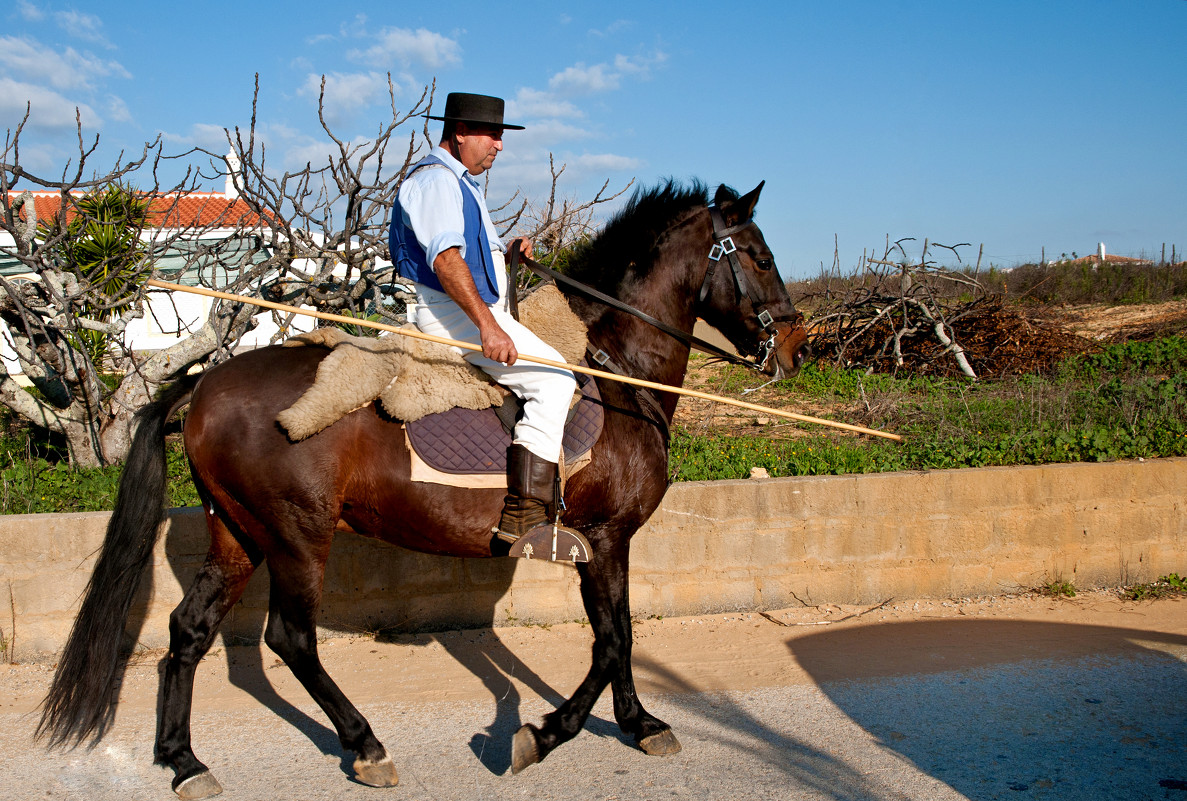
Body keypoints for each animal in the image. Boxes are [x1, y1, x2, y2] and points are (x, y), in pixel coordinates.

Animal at [41, 179, 811, 797]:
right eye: (759, 256)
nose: (795, 347)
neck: (618, 372)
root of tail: (204, 383)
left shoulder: (607, 545)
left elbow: (618, 637)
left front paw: (640, 723)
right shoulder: (605, 538)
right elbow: (612, 642)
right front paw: (543, 734)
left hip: (237, 533)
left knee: (189, 630)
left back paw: (184, 761)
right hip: (295, 534)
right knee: (291, 637)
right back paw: (365, 745)